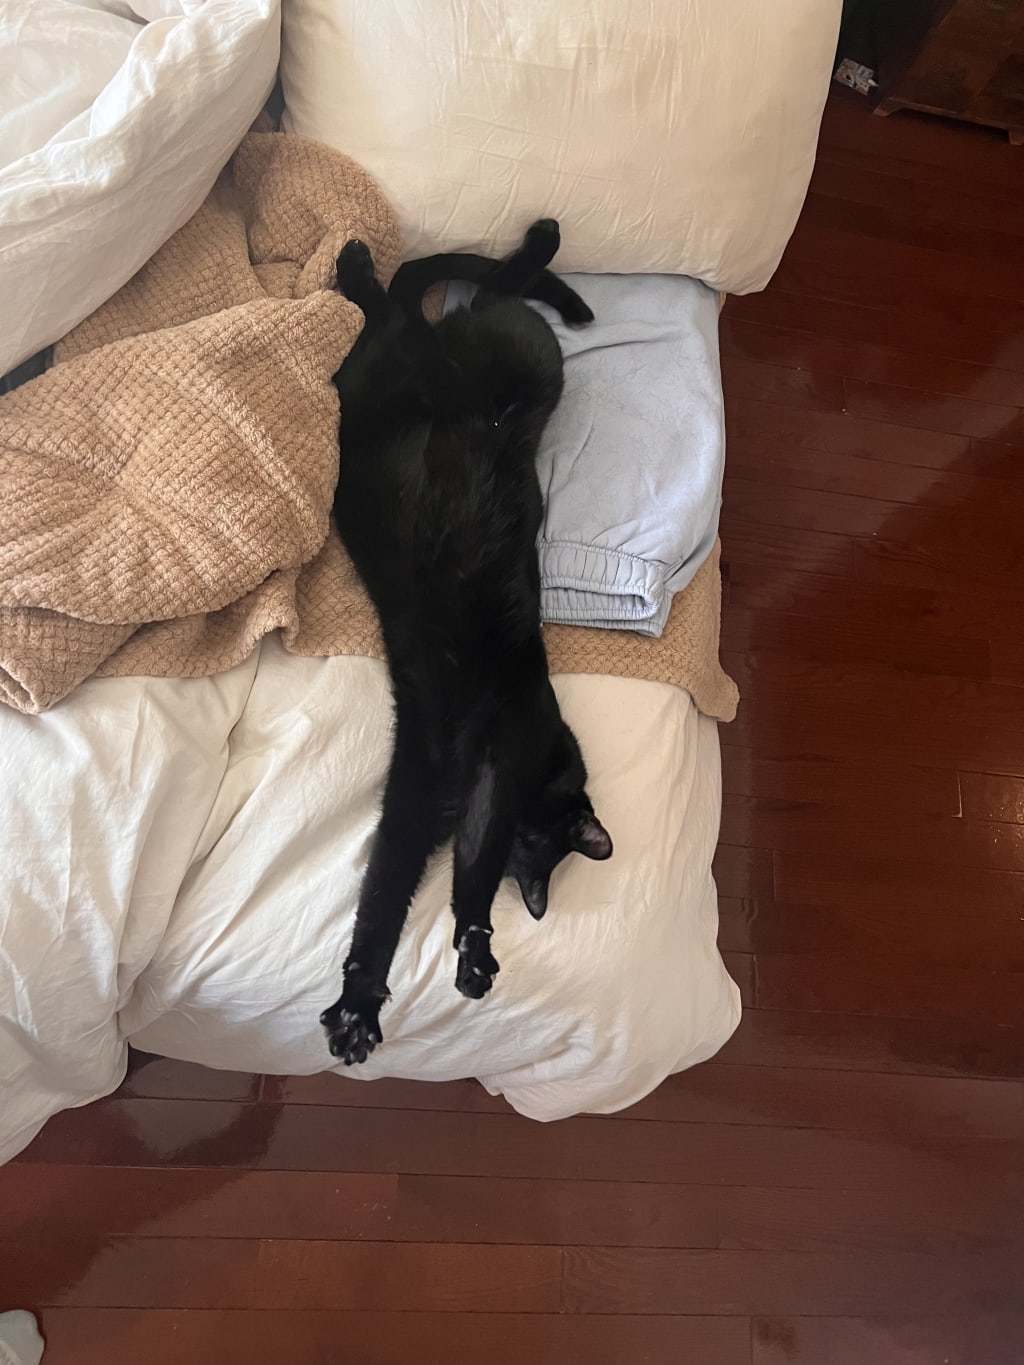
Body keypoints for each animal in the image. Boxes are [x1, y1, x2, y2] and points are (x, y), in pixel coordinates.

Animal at [320, 219, 612, 1065]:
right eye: (539, 845)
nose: (532, 896)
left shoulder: (429, 780)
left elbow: (397, 881)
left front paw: (369, 996)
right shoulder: (497, 755)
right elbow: (450, 876)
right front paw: (467, 949)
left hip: (415, 374)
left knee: (413, 304)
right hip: (481, 366)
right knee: (431, 293)